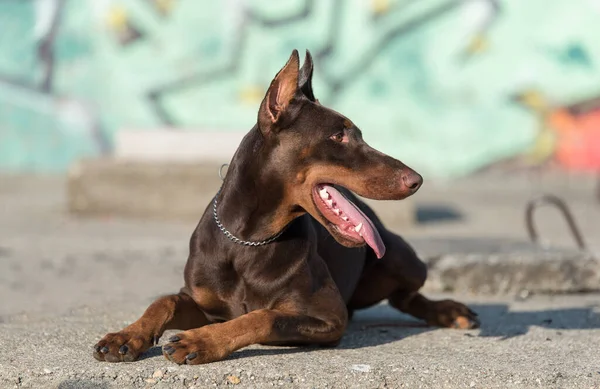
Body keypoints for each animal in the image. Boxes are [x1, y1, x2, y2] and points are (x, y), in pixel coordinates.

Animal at [92, 50, 478, 366]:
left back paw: (450, 311)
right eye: (338, 135)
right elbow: (165, 301)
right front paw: (127, 336)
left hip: (404, 260)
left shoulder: (329, 317)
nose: (416, 179)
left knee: (405, 296)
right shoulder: (202, 302)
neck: (247, 240)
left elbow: (262, 316)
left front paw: (199, 342)